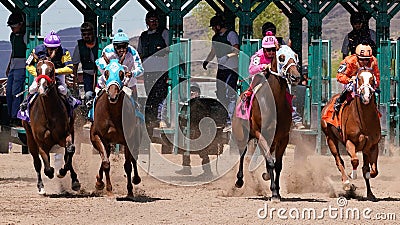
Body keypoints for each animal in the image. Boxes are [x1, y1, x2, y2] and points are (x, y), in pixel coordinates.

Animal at [22, 59, 81, 194]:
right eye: (38, 70)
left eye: (51, 70)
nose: (42, 88)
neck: (48, 114)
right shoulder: (41, 142)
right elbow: (46, 165)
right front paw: (51, 172)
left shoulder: (65, 135)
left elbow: (70, 151)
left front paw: (63, 172)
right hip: (30, 138)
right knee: (37, 162)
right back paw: (41, 186)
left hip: (72, 131)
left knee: (68, 154)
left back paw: (74, 180)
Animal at [90, 58, 142, 197]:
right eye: (106, 73)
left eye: (122, 74)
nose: (112, 95)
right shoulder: (96, 136)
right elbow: (106, 163)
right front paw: (107, 188)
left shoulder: (127, 139)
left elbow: (128, 165)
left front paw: (130, 190)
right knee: (106, 157)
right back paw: (99, 181)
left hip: (136, 138)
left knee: (134, 158)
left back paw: (136, 179)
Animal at [231, 44, 300, 202]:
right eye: (281, 57)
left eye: (295, 55)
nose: (296, 76)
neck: (274, 102)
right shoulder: (260, 134)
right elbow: (270, 162)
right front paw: (274, 192)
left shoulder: (283, 137)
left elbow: (277, 164)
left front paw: (277, 190)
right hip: (242, 135)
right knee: (242, 154)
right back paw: (239, 181)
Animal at [320, 67, 380, 200]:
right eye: (359, 78)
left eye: (372, 79)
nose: (366, 96)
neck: (364, 121)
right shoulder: (349, 142)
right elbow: (355, 161)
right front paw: (352, 176)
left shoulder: (373, 146)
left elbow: (372, 171)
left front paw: (368, 179)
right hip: (330, 138)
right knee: (339, 160)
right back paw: (346, 183)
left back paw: (370, 194)